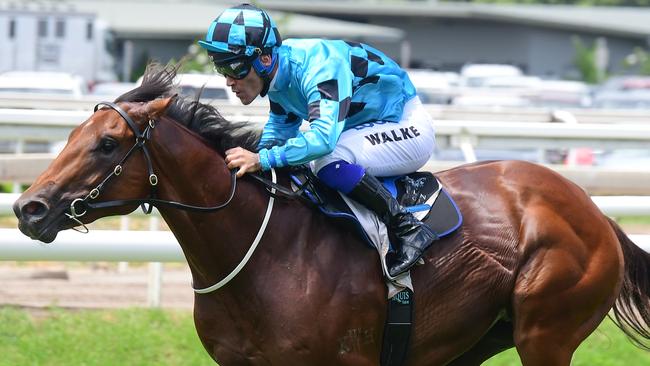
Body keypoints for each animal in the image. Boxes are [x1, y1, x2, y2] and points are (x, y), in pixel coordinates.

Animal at [11, 64, 648, 364]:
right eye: (71, 135)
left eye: (108, 144)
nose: (27, 207)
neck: (261, 252)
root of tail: (596, 214)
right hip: (473, 341)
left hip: (546, 333)